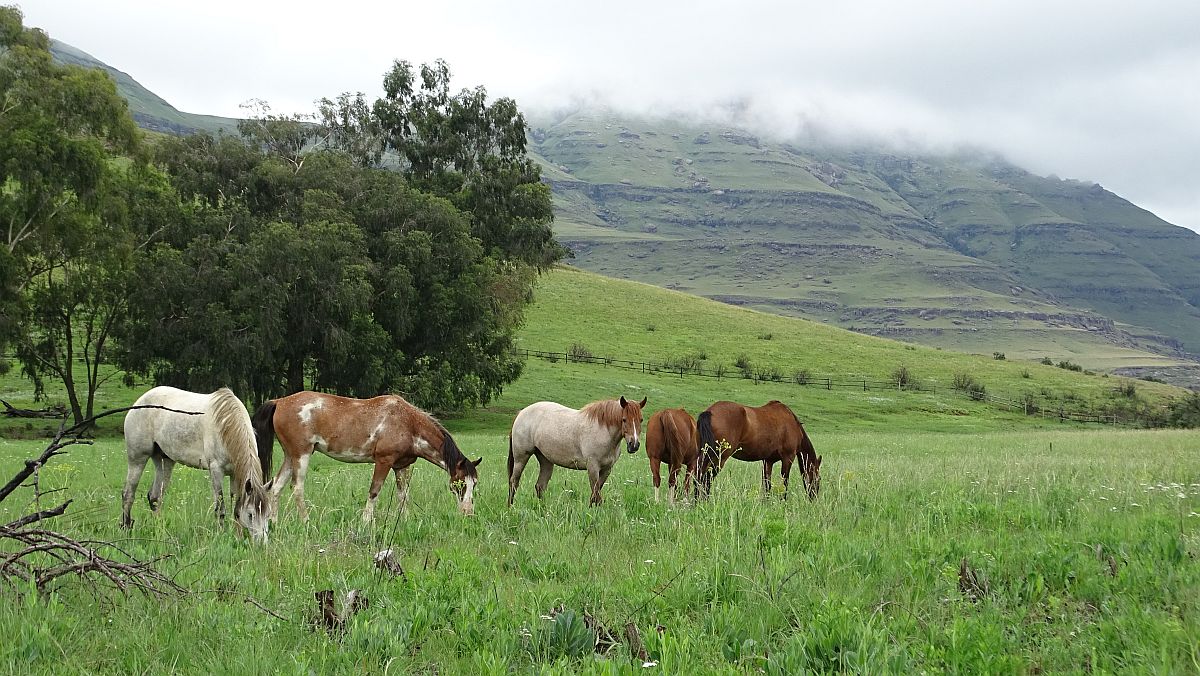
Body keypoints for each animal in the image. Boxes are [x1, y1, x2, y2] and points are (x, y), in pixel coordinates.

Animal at [122, 386, 272, 545]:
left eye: (268, 514)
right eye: (250, 515)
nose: (262, 544)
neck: (226, 425)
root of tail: (139, 402)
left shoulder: (235, 474)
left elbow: (236, 507)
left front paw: (237, 537)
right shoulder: (216, 471)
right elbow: (220, 507)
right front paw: (220, 535)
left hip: (164, 461)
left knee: (155, 497)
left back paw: (159, 532)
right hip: (137, 458)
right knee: (128, 494)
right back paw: (126, 530)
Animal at [250, 389, 480, 521]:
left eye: (474, 484)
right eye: (459, 484)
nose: (468, 513)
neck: (408, 423)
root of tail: (279, 401)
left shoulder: (401, 466)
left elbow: (403, 496)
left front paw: (404, 521)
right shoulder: (383, 461)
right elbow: (374, 492)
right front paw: (366, 522)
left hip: (290, 455)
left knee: (276, 487)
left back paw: (274, 522)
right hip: (301, 454)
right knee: (297, 488)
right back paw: (306, 522)